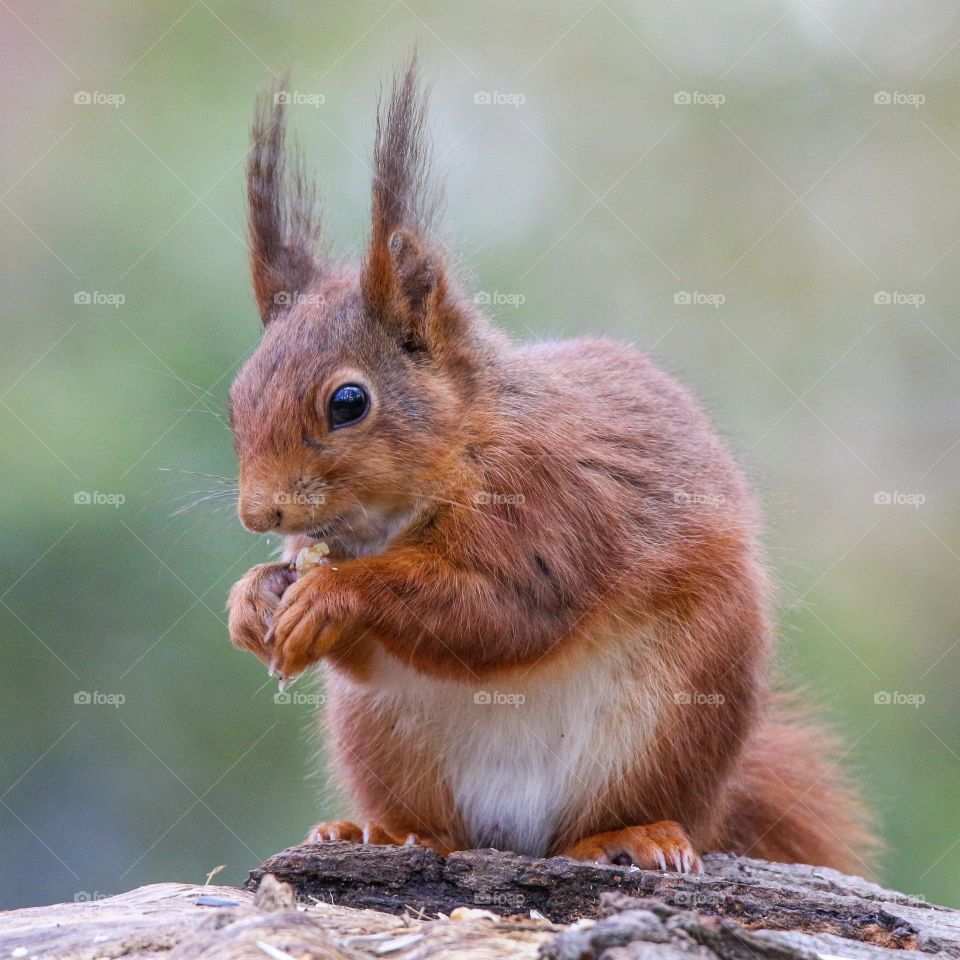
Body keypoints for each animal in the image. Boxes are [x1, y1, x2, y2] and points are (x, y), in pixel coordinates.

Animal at [227, 56, 876, 872]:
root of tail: (516, 831)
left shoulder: (547, 502)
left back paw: (630, 834)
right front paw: (253, 599)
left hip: (670, 715)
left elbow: (504, 612)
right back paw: (388, 831)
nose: (260, 513)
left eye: (349, 402)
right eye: (236, 395)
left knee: (619, 816)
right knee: (434, 819)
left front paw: (334, 595)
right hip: (380, 736)